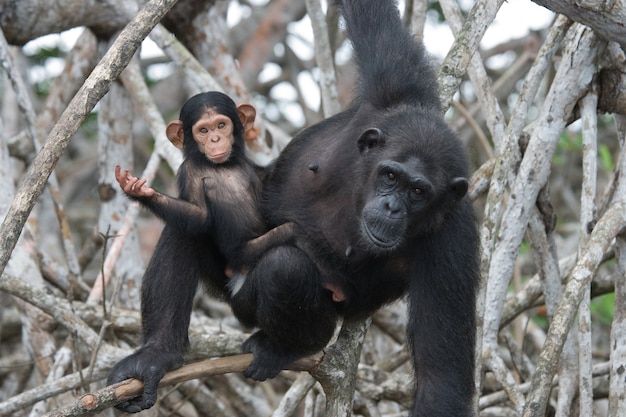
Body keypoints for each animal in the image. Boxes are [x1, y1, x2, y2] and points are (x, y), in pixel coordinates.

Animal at [108, 1, 478, 414]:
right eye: (391, 176)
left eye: (418, 191)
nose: (391, 205)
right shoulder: (392, 86)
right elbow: (376, 24)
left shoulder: (453, 241)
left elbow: (440, 380)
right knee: (188, 224)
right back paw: (156, 356)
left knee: (283, 267)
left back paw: (283, 348)